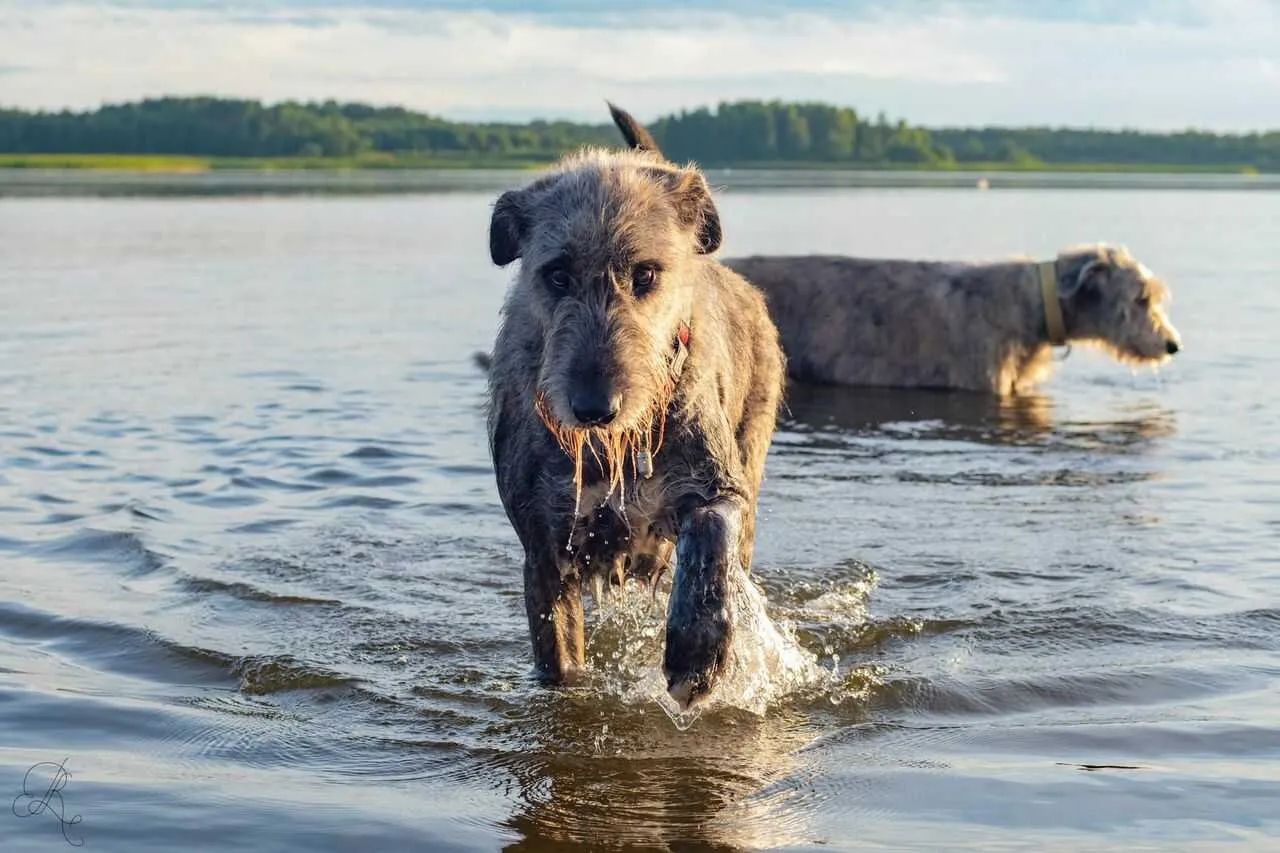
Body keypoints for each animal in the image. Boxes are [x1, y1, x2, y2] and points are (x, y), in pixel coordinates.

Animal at [481, 103, 783, 706]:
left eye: (645, 273)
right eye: (556, 273)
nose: (595, 406)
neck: (610, 448)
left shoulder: (716, 484)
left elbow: (710, 529)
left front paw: (695, 651)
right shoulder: (545, 548)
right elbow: (559, 658)